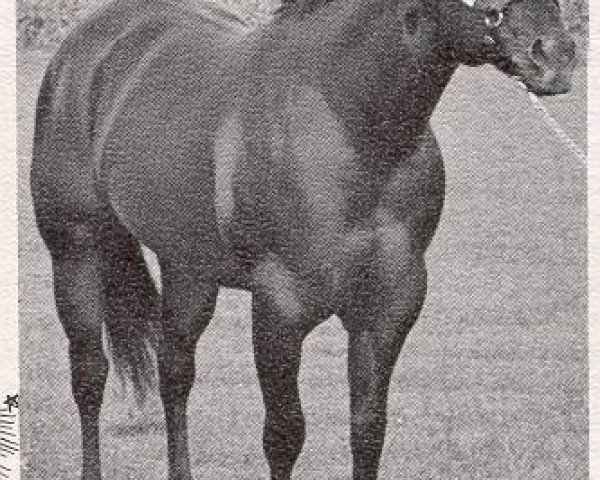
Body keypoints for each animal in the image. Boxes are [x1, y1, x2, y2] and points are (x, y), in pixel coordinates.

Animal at [31, 0, 576, 478]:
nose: (555, 54)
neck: (349, 122)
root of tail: (83, 48)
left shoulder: (388, 308)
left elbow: (368, 430)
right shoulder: (280, 308)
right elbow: (284, 434)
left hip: (188, 266)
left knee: (175, 371)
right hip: (75, 250)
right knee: (90, 376)